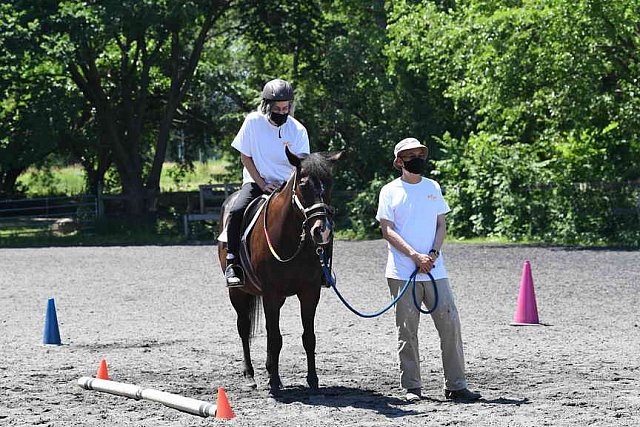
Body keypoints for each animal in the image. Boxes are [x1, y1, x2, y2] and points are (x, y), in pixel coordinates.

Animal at [218, 148, 342, 398]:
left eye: (330, 183)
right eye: (303, 184)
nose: (322, 231)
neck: (290, 237)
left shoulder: (309, 292)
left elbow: (308, 337)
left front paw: (312, 381)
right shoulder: (271, 293)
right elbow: (274, 337)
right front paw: (274, 381)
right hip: (238, 293)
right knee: (244, 327)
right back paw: (250, 376)